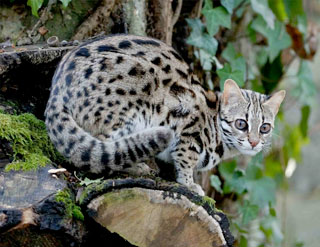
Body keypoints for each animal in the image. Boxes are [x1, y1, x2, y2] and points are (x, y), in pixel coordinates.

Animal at [44, 34, 284, 196]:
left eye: (265, 128)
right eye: (241, 124)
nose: (254, 142)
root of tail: (57, 90)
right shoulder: (188, 124)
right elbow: (185, 160)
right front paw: (189, 183)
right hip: (136, 91)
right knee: (103, 150)